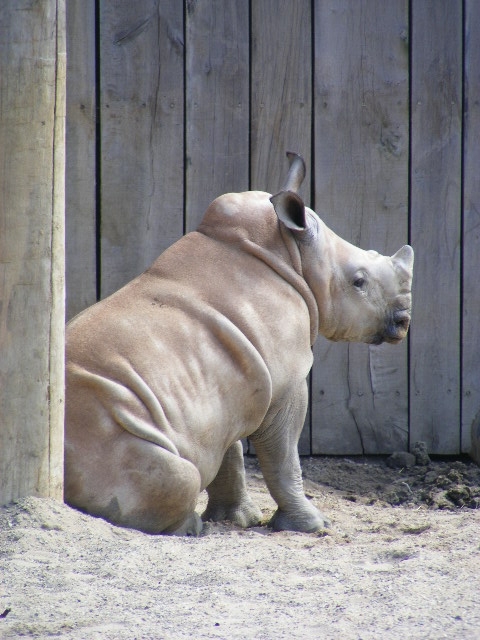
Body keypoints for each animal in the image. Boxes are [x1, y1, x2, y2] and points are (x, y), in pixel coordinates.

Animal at [65, 153, 414, 535]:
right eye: (359, 282)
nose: (403, 319)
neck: (291, 255)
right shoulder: (284, 384)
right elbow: (284, 457)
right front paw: (313, 525)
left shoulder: (232, 381)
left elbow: (229, 452)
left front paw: (237, 519)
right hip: (104, 436)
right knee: (181, 474)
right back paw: (191, 528)